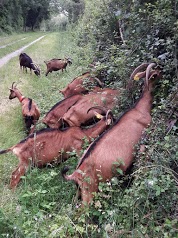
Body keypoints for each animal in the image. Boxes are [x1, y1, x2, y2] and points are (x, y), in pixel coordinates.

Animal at [62, 62, 161, 205]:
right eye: (155, 73)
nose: (162, 70)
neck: (140, 109)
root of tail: (76, 174)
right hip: (89, 192)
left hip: (79, 192)